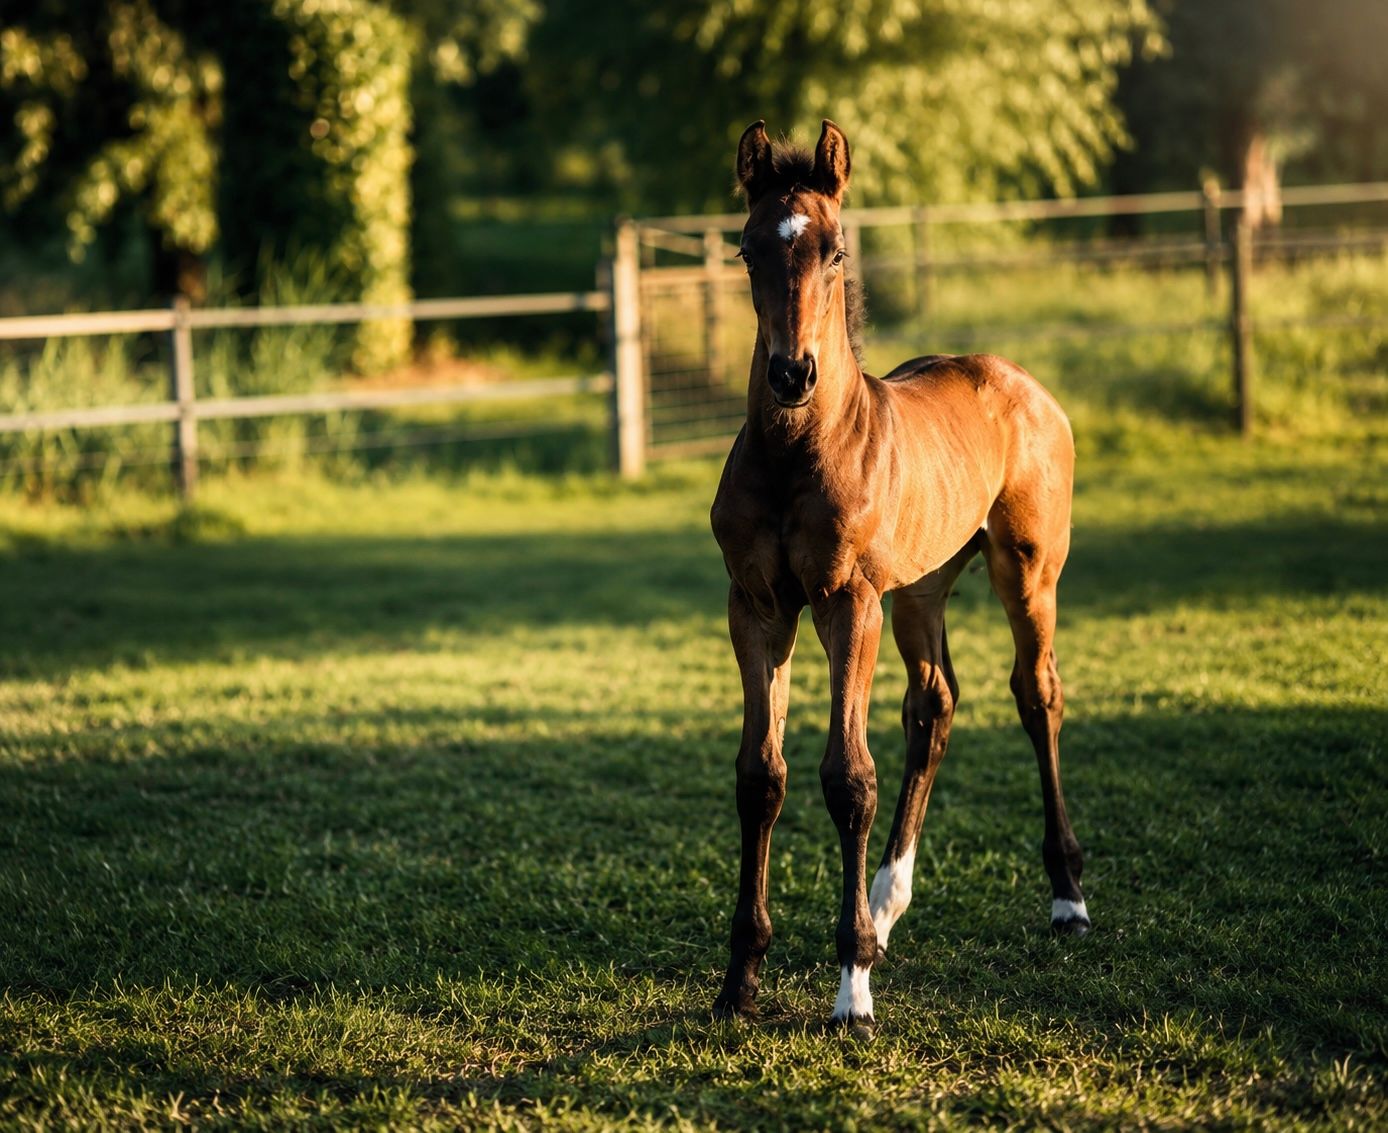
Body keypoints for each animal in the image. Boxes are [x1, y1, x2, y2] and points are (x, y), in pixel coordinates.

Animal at [709, 120, 1089, 1037]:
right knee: (935, 703)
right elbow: (760, 776)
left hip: (1025, 571)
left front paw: (852, 988)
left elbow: (849, 777)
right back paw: (885, 906)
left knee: (1037, 694)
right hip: (919, 588)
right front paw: (740, 979)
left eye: (836, 249)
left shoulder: (847, 604)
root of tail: (1023, 383)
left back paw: (1065, 894)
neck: (796, 456)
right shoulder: (757, 608)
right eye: (747, 250)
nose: (791, 374)